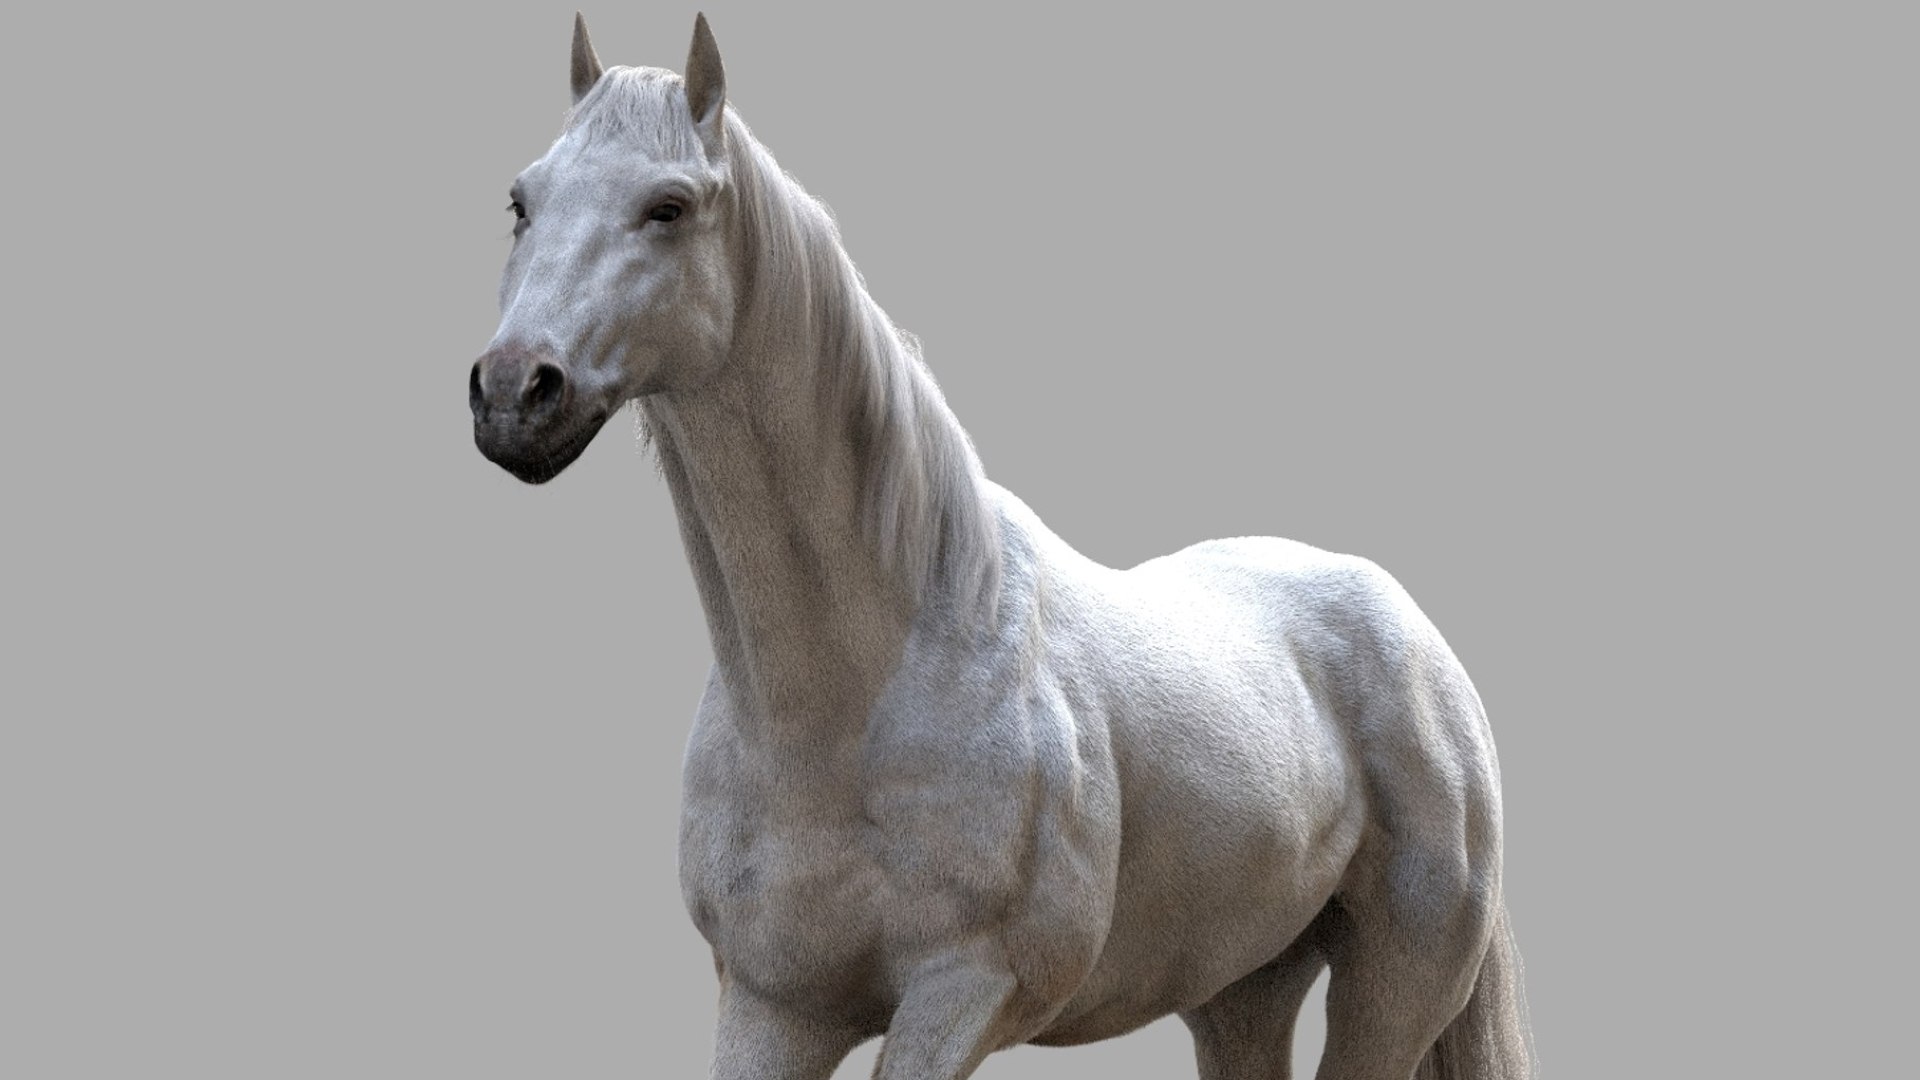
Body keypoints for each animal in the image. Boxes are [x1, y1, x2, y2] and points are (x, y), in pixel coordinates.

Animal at [468, 14, 1534, 1080]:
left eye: (670, 206)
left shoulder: (964, 992)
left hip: (1394, 986)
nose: (514, 393)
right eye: (523, 201)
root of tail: (1417, 638)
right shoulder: (772, 1006)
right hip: (1240, 990)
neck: (849, 706)